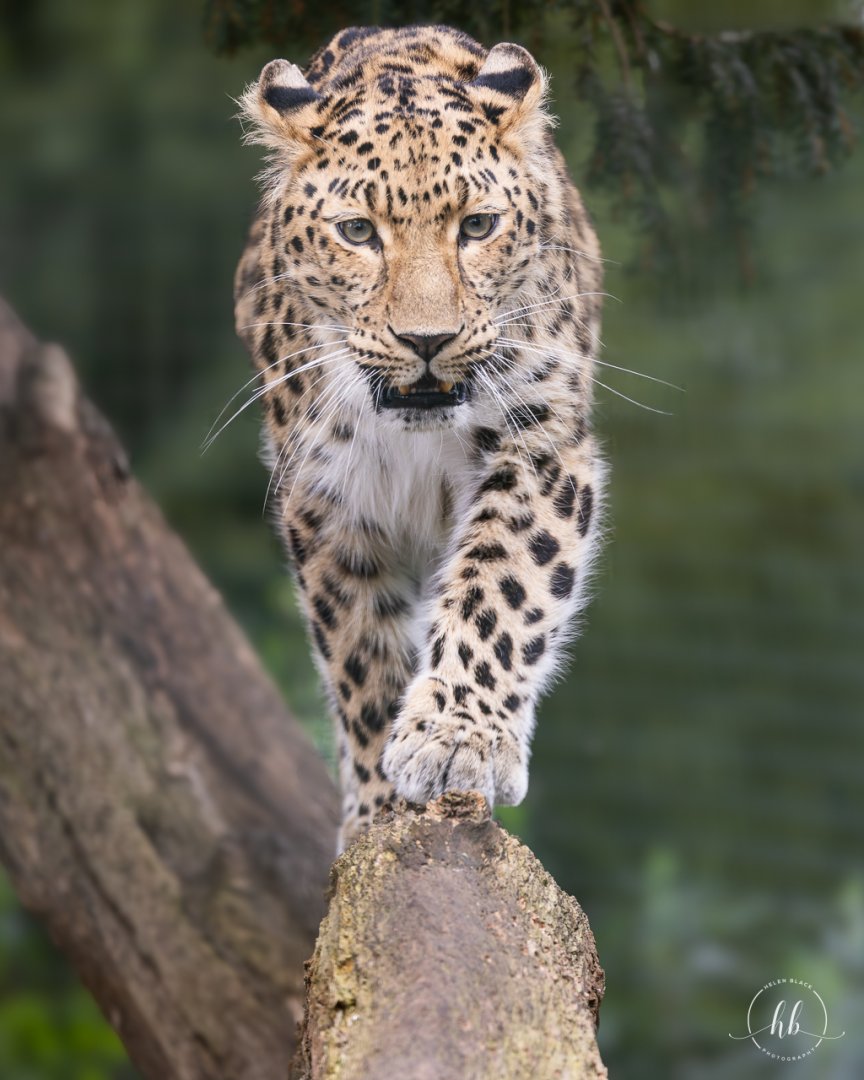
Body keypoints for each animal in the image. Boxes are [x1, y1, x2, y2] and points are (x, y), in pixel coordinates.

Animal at [233, 24, 605, 849]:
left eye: (477, 226)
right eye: (357, 232)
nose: (427, 340)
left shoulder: (540, 442)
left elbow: (503, 584)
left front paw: (460, 738)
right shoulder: (326, 493)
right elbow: (361, 656)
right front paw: (380, 808)